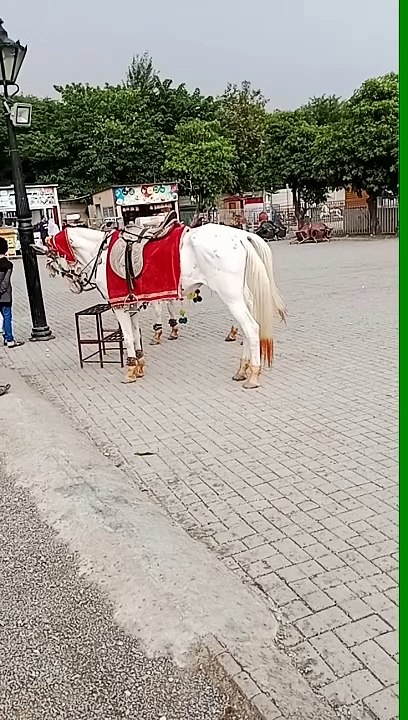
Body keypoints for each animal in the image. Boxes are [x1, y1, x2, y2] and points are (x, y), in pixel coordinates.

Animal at [46, 223, 286, 389]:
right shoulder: (132, 306)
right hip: (241, 297)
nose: (74, 286)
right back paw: (242, 369)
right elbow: (136, 336)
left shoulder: (120, 307)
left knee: (251, 328)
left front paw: (130, 370)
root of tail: (240, 235)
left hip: (231, 296)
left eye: (52, 257)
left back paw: (253, 375)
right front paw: (139, 365)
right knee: (246, 328)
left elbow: (128, 337)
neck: (103, 254)